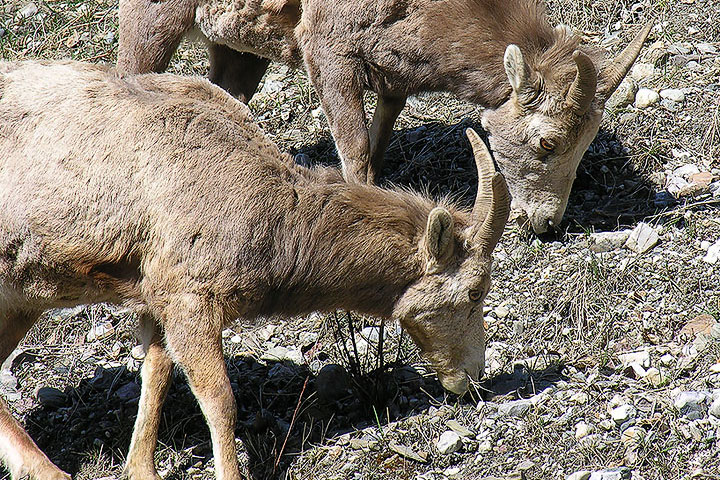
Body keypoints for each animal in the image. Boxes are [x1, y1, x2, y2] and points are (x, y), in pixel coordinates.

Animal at [116, 0, 652, 233]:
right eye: (547, 142)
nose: (547, 222)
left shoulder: (394, 79)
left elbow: (378, 142)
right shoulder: (330, 54)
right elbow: (355, 152)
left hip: (238, 48)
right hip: (154, 23)